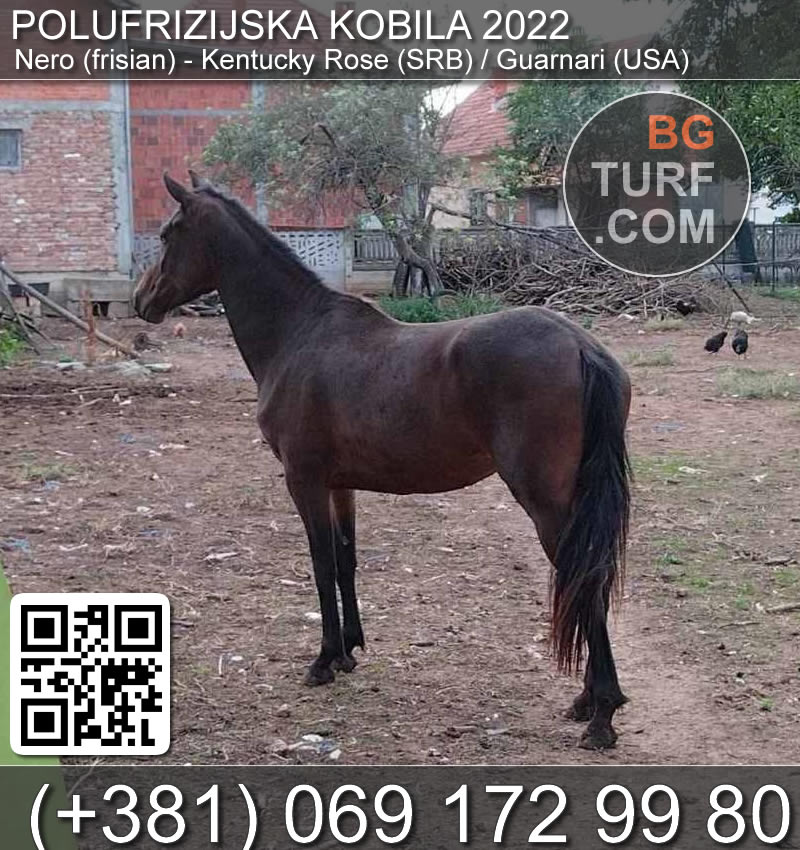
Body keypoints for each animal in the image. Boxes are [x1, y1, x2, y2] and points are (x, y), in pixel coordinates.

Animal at [134, 172, 633, 749]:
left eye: (168, 234)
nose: (141, 299)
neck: (299, 332)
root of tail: (580, 345)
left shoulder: (303, 481)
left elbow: (321, 563)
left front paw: (323, 660)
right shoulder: (339, 485)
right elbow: (346, 559)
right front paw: (349, 651)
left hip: (546, 502)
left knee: (584, 579)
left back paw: (601, 715)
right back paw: (587, 702)